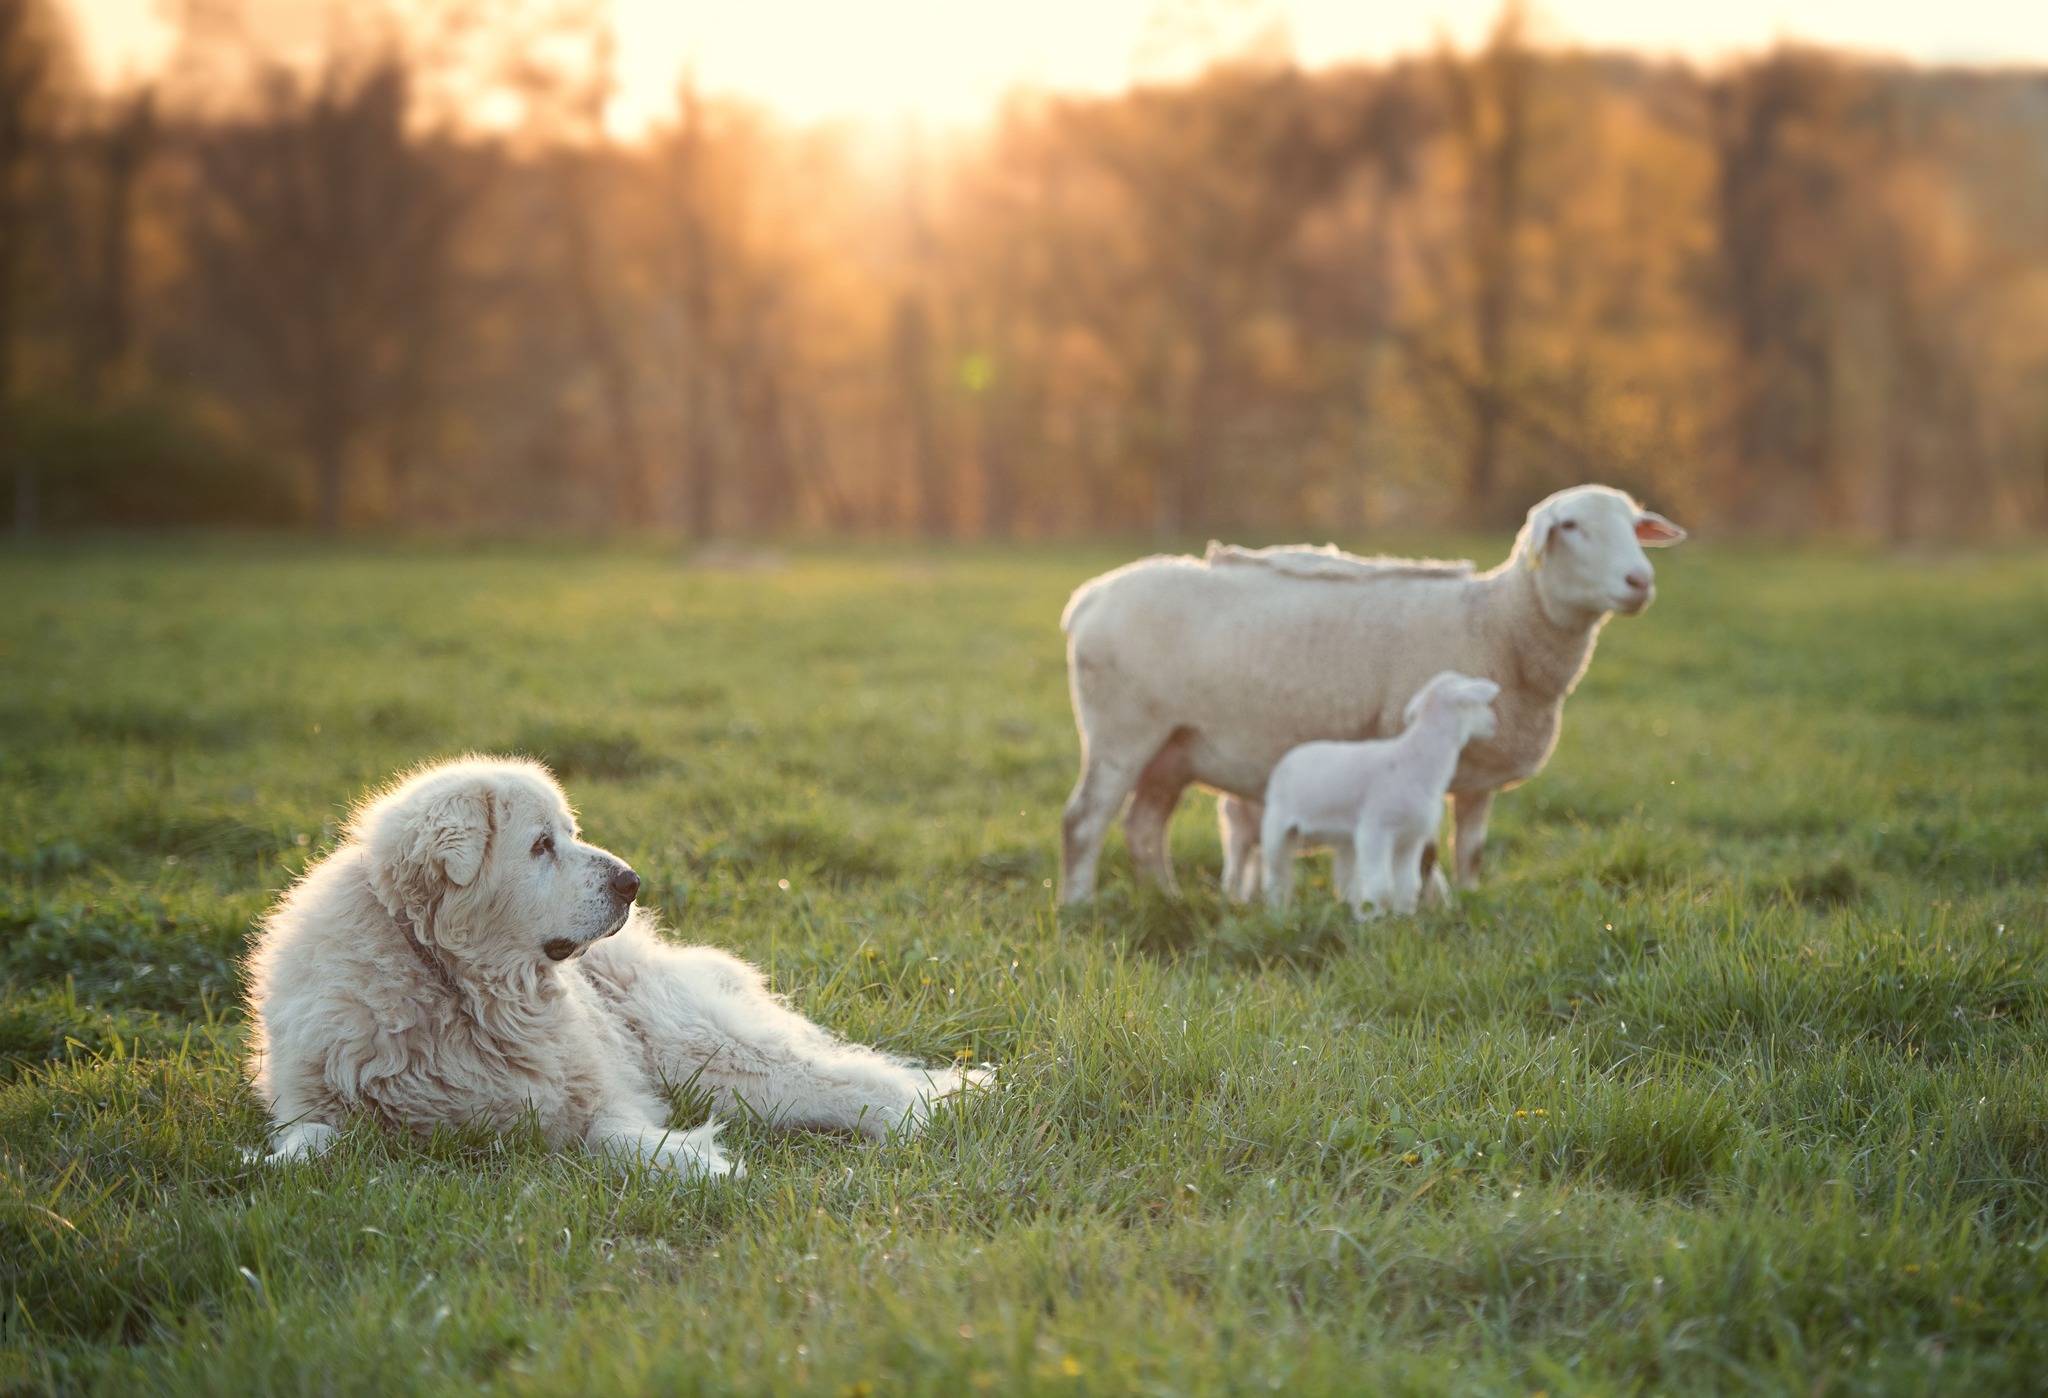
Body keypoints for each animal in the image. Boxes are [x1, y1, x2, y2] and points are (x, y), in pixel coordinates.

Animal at [1260, 671, 1500, 917]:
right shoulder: (1375, 830)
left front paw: (1403, 918)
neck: (1414, 759)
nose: (1493, 723)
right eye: (1475, 703)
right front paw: (1374, 918)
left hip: (1343, 836)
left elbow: (1408, 885)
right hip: (1276, 825)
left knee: (1345, 878)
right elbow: (1380, 885)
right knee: (1277, 876)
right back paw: (1277, 913)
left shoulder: (1411, 837)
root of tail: (1292, 755)